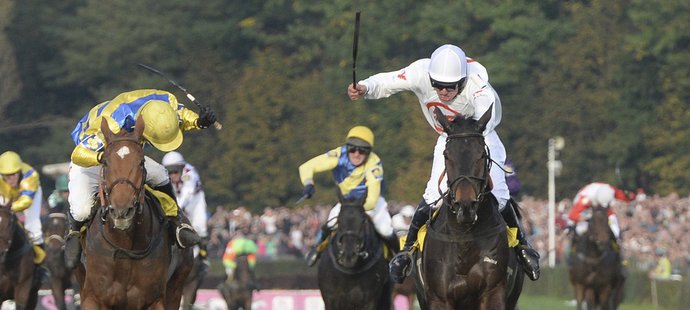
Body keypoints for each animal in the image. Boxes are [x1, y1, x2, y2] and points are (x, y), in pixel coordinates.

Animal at [412, 106, 524, 308]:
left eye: (481, 155)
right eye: (447, 155)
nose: (465, 206)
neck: (464, 241)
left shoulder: (493, 292)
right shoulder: (439, 298)